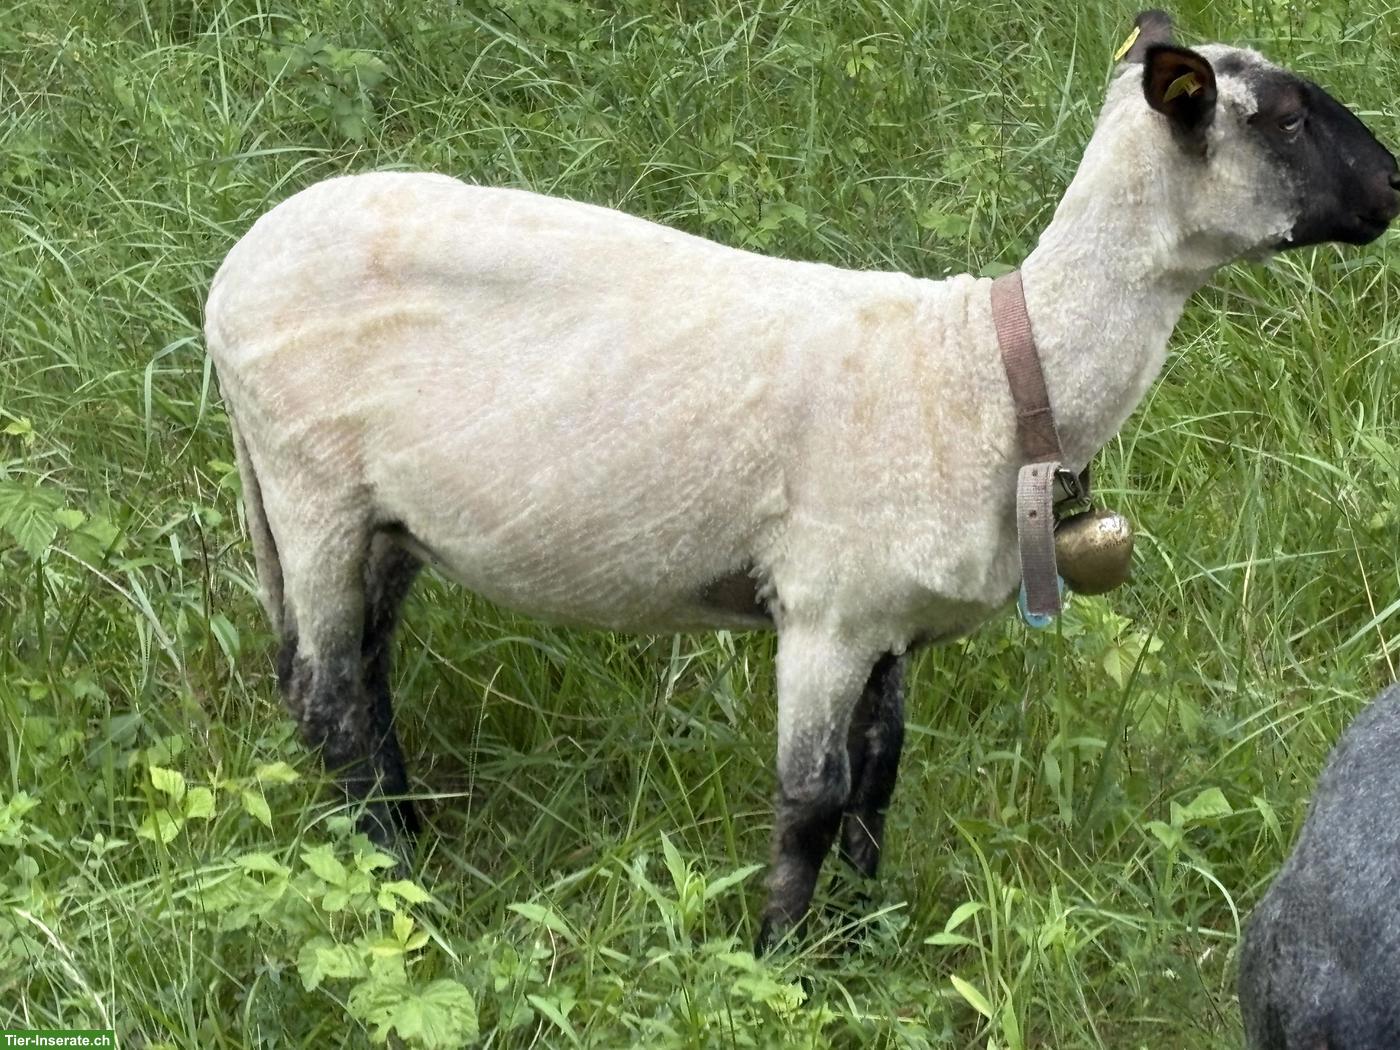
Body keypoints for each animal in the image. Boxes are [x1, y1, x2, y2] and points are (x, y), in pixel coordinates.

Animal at [204, 10, 1400, 951]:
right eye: (1283, 118)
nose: (1395, 183)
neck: (990, 372)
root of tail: (229, 278)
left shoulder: (891, 622)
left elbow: (879, 776)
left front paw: (864, 940)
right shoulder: (824, 611)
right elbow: (810, 797)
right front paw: (779, 954)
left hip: (386, 518)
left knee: (356, 674)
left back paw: (401, 835)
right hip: (309, 486)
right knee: (328, 696)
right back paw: (392, 873)